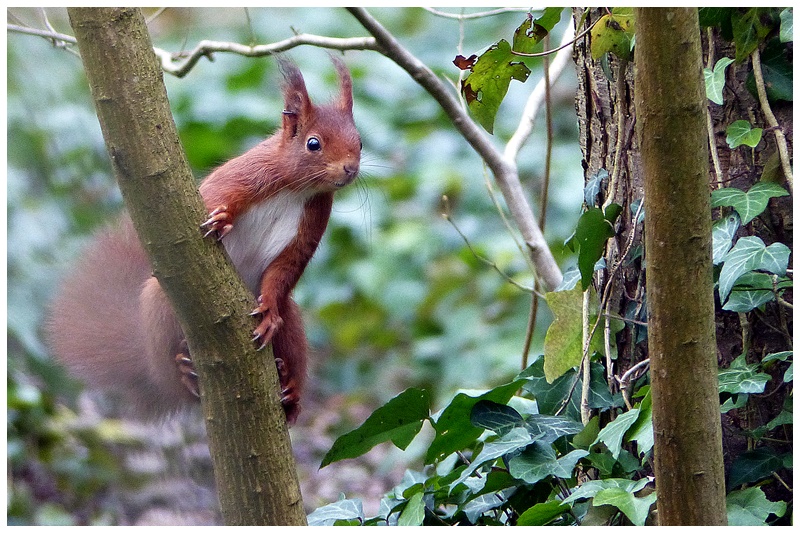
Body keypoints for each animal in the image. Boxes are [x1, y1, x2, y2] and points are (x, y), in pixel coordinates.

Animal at [48, 57, 360, 424]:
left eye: (359, 141)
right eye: (313, 143)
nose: (350, 169)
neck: (297, 188)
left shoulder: (313, 220)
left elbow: (287, 266)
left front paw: (268, 310)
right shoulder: (245, 176)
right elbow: (212, 198)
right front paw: (221, 219)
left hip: (292, 322)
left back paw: (289, 388)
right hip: (159, 308)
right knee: (172, 372)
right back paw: (182, 373)